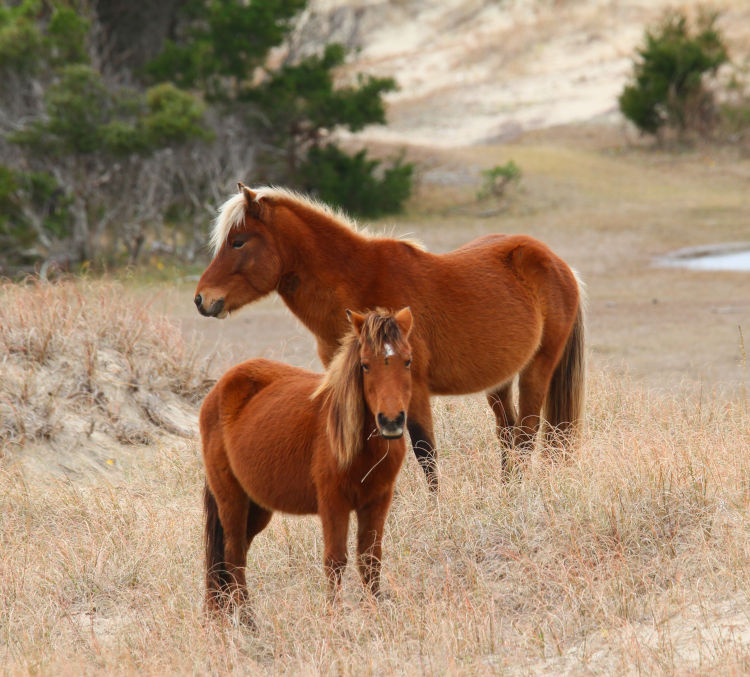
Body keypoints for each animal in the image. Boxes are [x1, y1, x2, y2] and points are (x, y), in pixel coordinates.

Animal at [195, 186, 588, 492]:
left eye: (238, 242)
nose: (202, 299)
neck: (359, 284)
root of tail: (558, 264)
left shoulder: (413, 388)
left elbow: (426, 452)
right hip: (500, 382)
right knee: (508, 435)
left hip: (538, 369)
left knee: (529, 435)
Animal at [204, 308, 418, 616]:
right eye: (365, 365)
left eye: (408, 360)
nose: (391, 421)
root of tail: (220, 387)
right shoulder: (333, 503)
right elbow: (335, 561)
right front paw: (334, 617)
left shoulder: (378, 501)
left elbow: (370, 559)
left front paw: (375, 611)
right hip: (231, 500)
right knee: (233, 557)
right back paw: (247, 620)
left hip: (257, 508)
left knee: (236, 556)